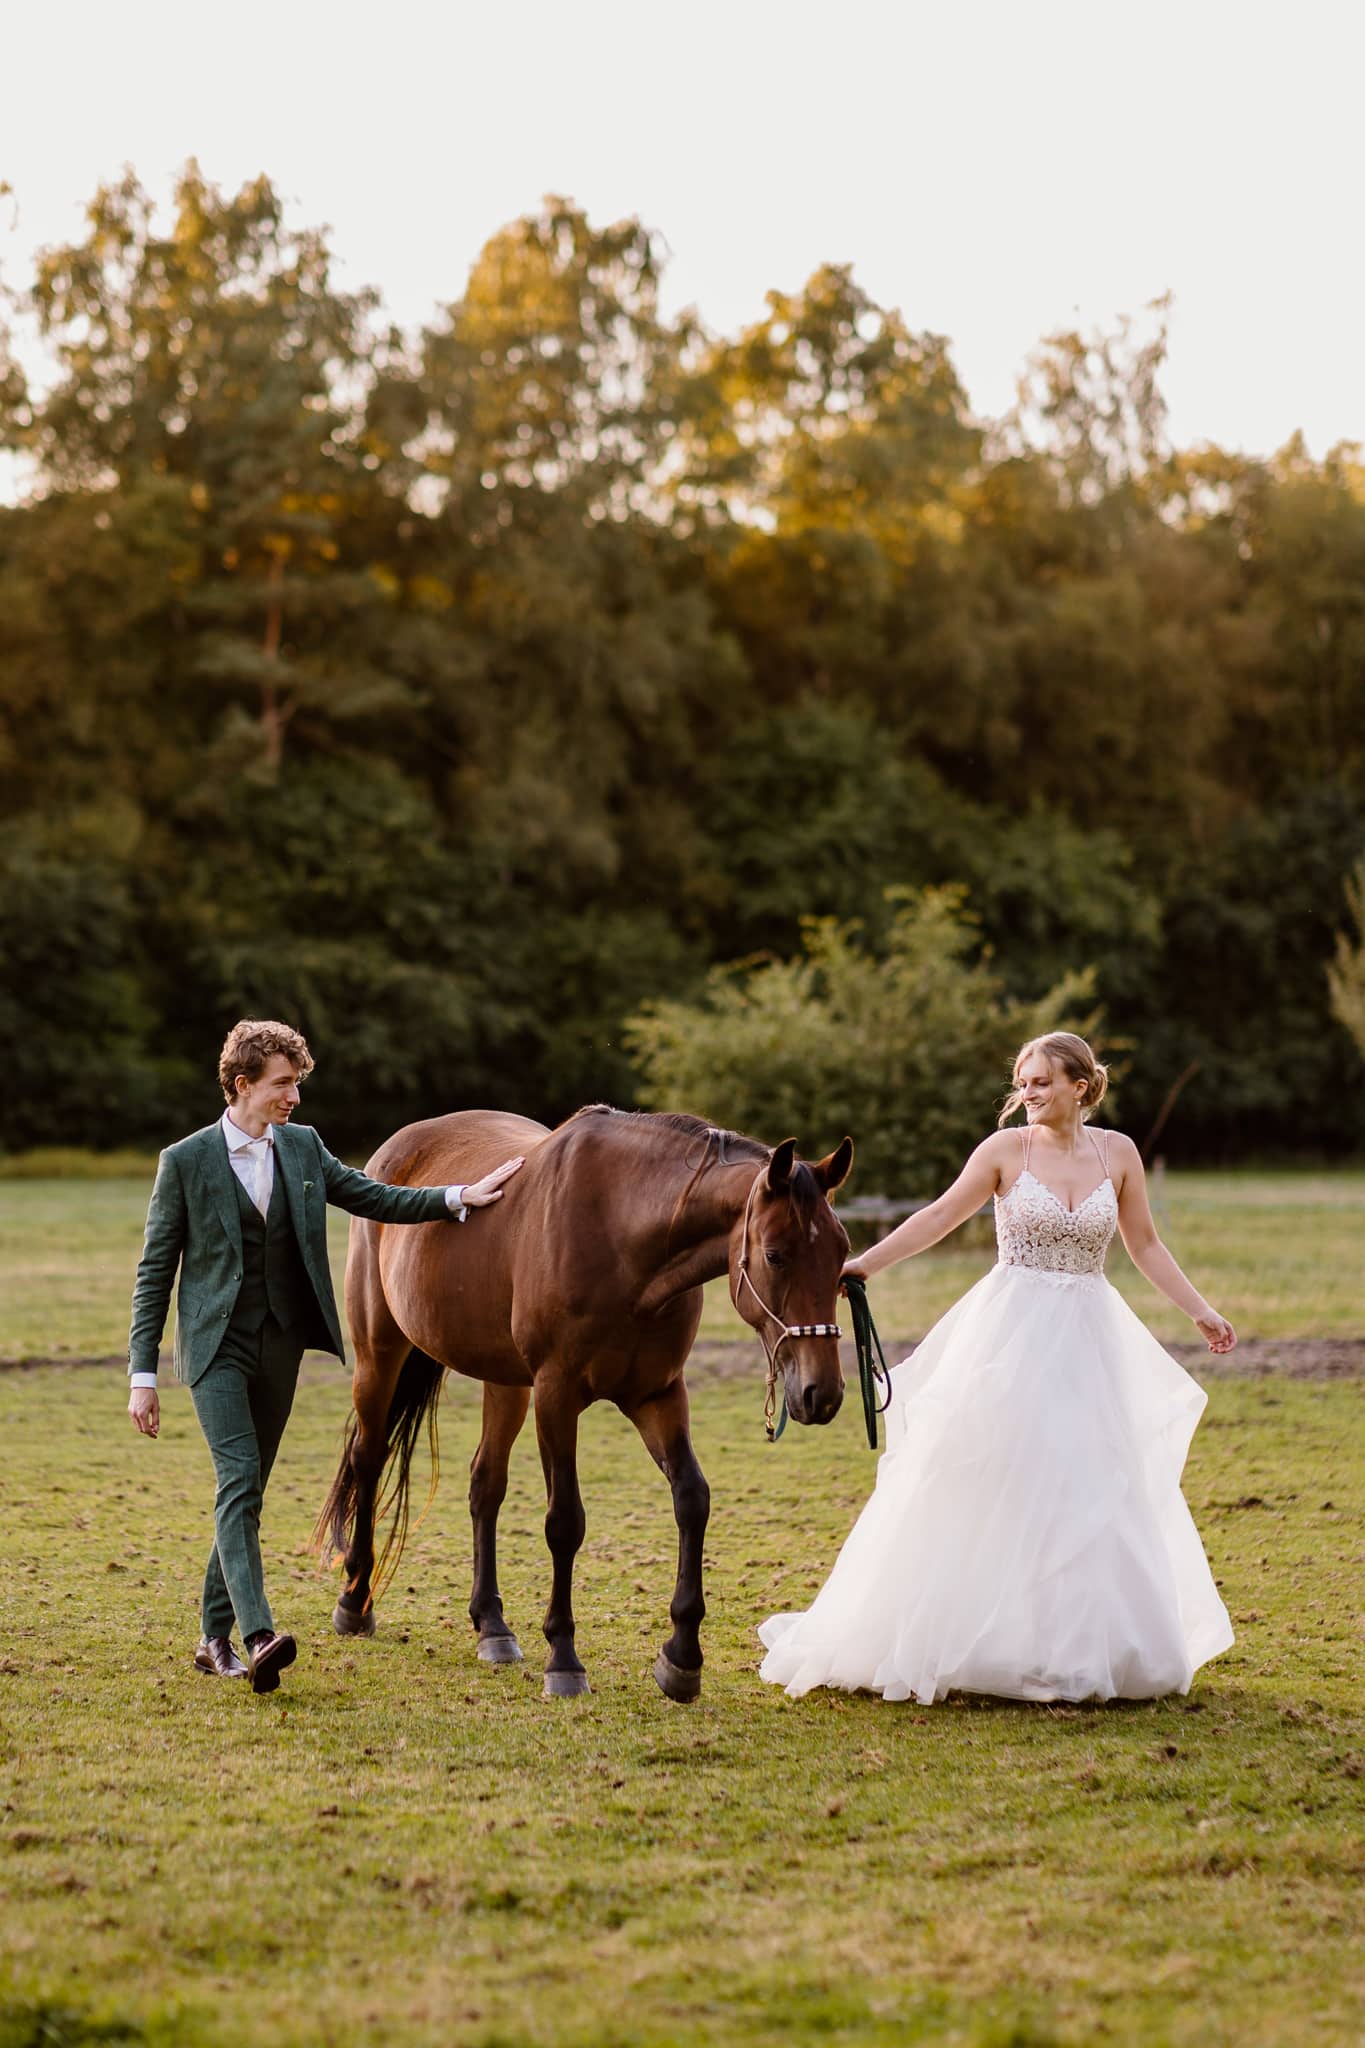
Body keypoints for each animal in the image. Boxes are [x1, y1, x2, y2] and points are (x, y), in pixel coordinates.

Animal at [321, 1105, 855, 1695]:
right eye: (776, 1256)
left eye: (842, 1252)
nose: (821, 1393)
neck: (624, 1238)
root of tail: (399, 1146)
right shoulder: (556, 1396)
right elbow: (565, 1522)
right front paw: (564, 1657)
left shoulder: (658, 1394)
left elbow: (692, 1499)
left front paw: (681, 1656)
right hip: (380, 1354)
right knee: (369, 1459)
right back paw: (355, 1601)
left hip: (506, 1383)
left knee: (485, 1485)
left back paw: (492, 1626)